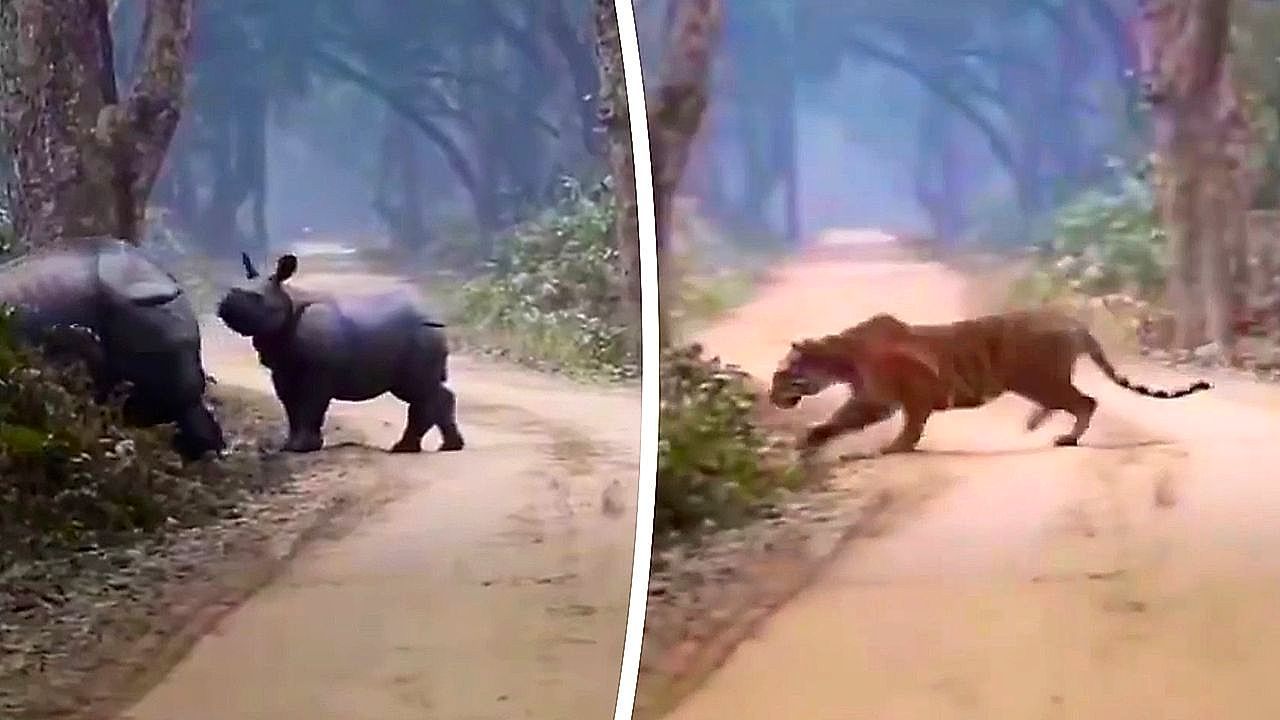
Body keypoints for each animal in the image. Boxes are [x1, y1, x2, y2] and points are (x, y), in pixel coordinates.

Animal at [216, 252, 464, 454]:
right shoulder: (283, 367)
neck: (288, 297)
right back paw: (448, 447)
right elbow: (290, 404)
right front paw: (290, 446)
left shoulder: (317, 371)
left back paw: (405, 449)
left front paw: (303, 448)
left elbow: (310, 404)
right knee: (422, 390)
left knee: (418, 390)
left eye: (255, 298)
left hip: (421, 335)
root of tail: (435, 317)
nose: (223, 303)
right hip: (421, 335)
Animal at [768, 309, 1211, 455]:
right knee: (1073, 401)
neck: (841, 359)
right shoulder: (880, 399)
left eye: (781, 375)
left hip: (1036, 376)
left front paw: (893, 448)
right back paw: (1036, 423)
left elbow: (900, 425)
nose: (772, 397)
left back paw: (1064, 437)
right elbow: (844, 420)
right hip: (1039, 380)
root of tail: (1071, 320)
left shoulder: (890, 398)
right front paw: (811, 441)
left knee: (1085, 402)